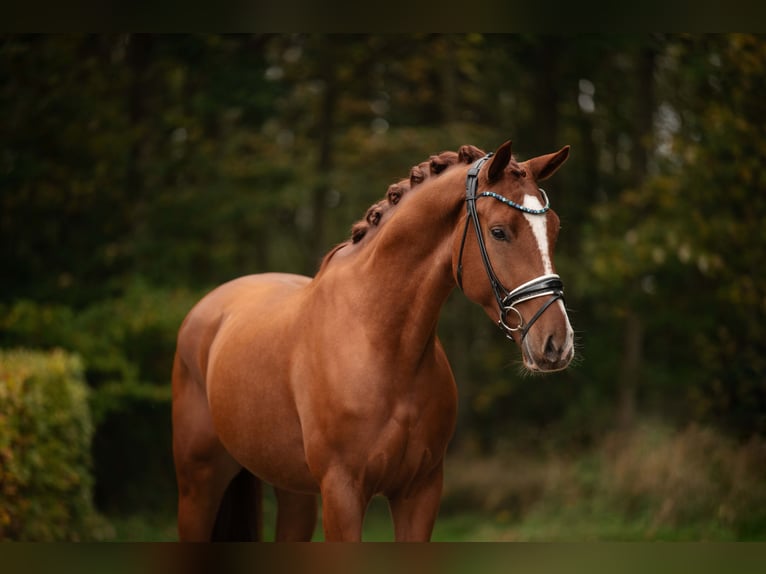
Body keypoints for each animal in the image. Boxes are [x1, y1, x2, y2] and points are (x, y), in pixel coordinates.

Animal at [171, 142, 572, 544]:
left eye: (554, 229)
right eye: (499, 232)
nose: (557, 342)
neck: (381, 344)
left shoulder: (420, 492)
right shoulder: (342, 493)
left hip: (293, 492)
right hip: (199, 485)